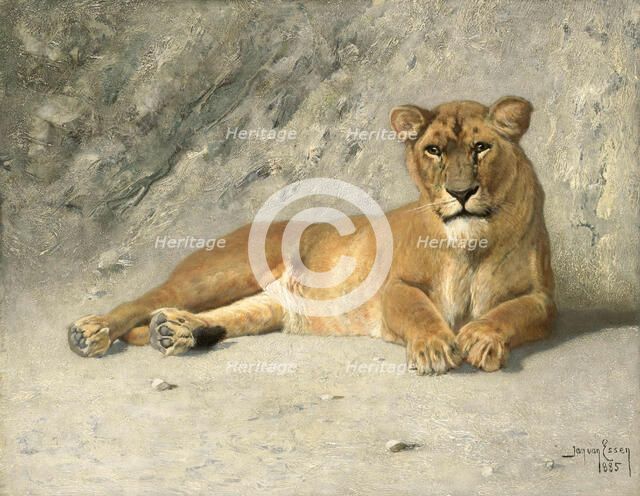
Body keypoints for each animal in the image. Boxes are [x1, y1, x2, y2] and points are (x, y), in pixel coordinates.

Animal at [68, 96, 556, 374]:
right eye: (434, 150)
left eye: (481, 148)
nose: (460, 192)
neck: (471, 244)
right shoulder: (394, 286)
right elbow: (419, 309)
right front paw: (436, 347)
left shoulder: (542, 299)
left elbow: (511, 312)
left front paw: (482, 337)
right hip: (218, 275)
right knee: (146, 301)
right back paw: (91, 332)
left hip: (270, 304)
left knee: (226, 316)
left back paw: (176, 332)